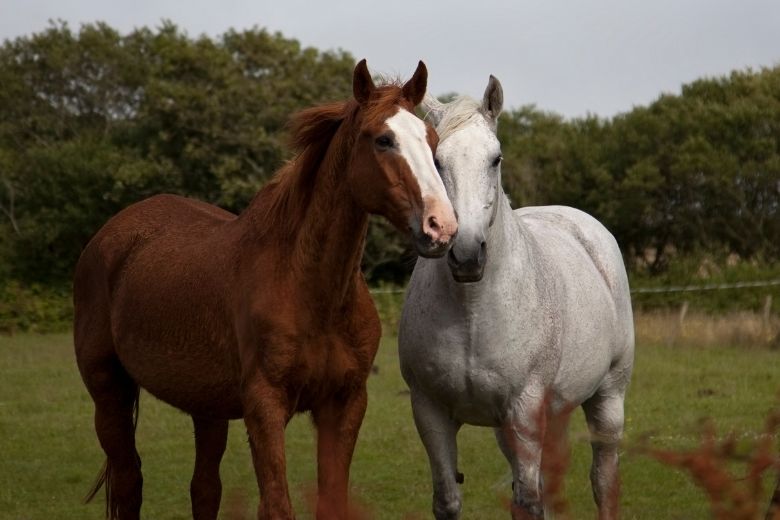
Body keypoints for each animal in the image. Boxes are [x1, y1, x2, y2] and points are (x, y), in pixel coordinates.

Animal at [73, 62, 458, 520]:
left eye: (432, 141)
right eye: (383, 140)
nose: (442, 226)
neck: (310, 291)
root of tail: (109, 236)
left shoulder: (344, 403)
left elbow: (331, 501)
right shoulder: (265, 406)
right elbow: (275, 505)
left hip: (206, 407)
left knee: (204, 489)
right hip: (107, 389)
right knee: (130, 480)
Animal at [402, 78, 632, 520]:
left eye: (496, 159)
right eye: (436, 161)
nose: (466, 254)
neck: (472, 312)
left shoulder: (524, 410)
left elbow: (528, 502)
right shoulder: (430, 412)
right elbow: (448, 500)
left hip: (608, 397)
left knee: (605, 481)